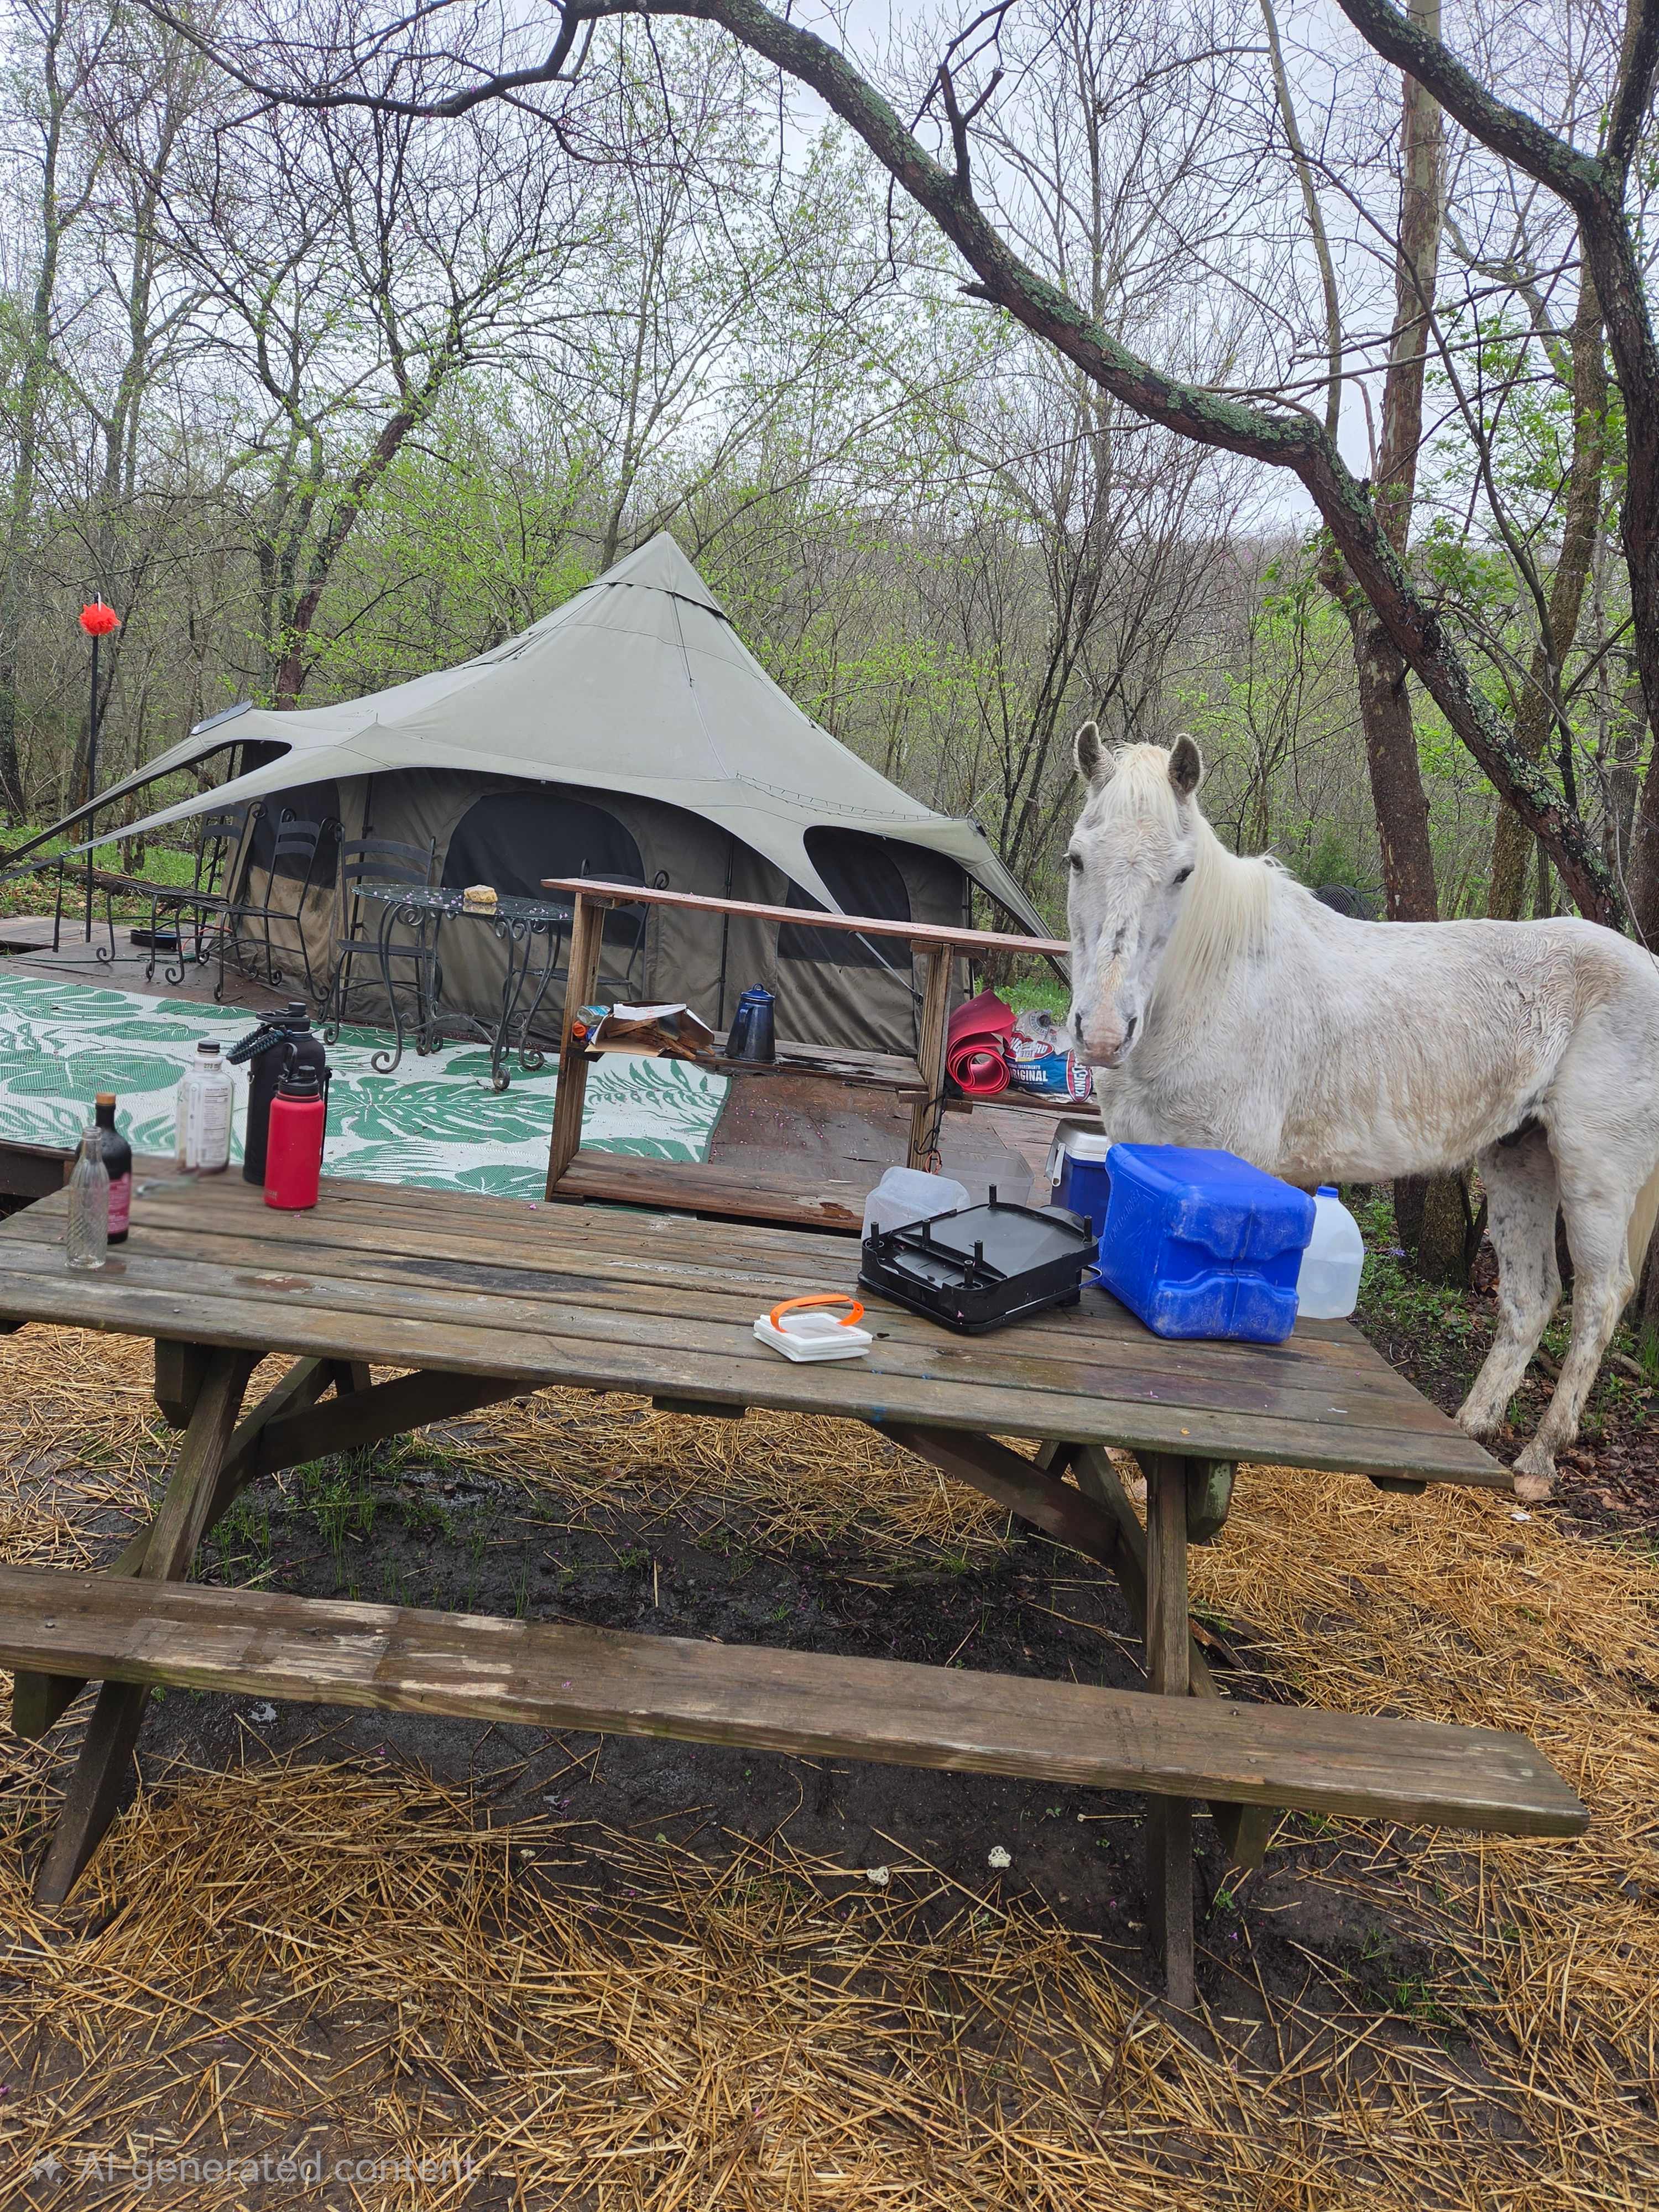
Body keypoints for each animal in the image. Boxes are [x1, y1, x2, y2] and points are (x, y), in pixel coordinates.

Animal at [1063, 724, 1659, 1500]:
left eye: (1182, 874)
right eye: (1077, 857)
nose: (1104, 1033)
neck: (1209, 985)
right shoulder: (1140, 1150)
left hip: (1596, 1174)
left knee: (1598, 1298)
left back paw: (1538, 1462)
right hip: (1520, 1159)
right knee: (1533, 1298)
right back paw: (1473, 1427)